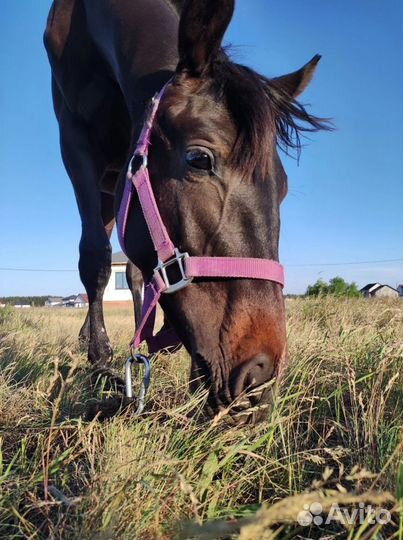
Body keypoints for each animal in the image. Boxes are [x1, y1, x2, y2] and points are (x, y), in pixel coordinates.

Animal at [44, 0, 330, 424]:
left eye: (282, 187)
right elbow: (95, 258)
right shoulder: (74, 142)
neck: (88, 19)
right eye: (199, 159)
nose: (259, 380)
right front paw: (99, 364)